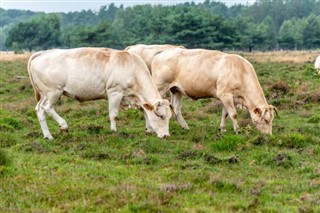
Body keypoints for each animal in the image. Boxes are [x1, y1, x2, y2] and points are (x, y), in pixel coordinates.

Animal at [27, 47, 172, 139]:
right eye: (161, 116)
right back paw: (63, 126)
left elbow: (145, 112)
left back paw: (48, 136)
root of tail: (42, 53)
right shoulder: (115, 92)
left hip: (44, 94)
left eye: (169, 117)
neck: (133, 68)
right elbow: (113, 114)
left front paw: (149, 129)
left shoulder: (136, 98)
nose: (166, 136)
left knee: (40, 110)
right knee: (47, 107)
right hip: (53, 92)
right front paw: (113, 131)